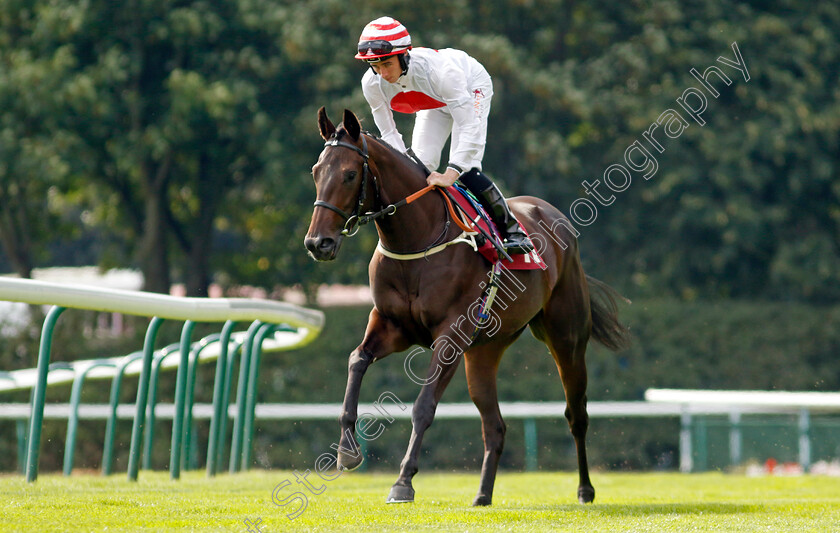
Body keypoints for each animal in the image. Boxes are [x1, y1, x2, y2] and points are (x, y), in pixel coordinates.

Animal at [304, 108, 632, 508]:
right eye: (316, 171)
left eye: (350, 174)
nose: (317, 243)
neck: (417, 239)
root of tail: (551, 213)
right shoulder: (392, 326)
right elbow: (357, 360)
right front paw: (347, 452)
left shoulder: (451, 335)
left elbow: (423, 406)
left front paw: (403, 481)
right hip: (484, 352)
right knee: (495, 426)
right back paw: (482, 495)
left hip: (566, 338)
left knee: (576, 413)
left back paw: (585, 490)